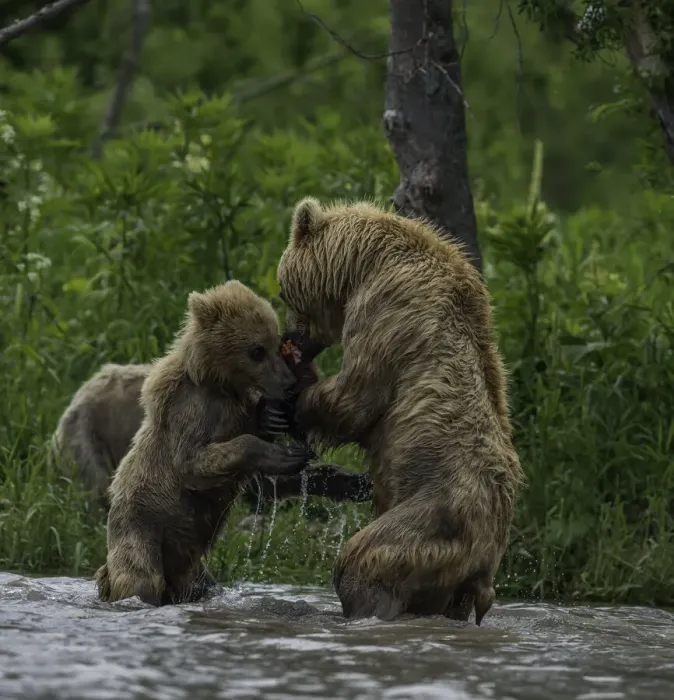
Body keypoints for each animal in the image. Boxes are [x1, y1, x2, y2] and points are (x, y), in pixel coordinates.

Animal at [94, 280, 315, 606]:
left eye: (276, 343)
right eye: (256, 351)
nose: (289, 383)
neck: (218, 381)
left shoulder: (231, 406)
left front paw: (270, 416)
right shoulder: (191, 409)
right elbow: (193, 462)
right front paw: (286, 455)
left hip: (188, 564)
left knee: (199, 582)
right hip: (142, 527)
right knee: (141, 577)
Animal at [275, 197, 524, 625]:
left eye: (281, 290)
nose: (292, 339)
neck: (363, 263)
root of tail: (483, 564)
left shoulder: (389, 308)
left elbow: (355, 399)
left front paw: (296, 398)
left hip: (430, 519)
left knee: (363, 561)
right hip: (455, 571)